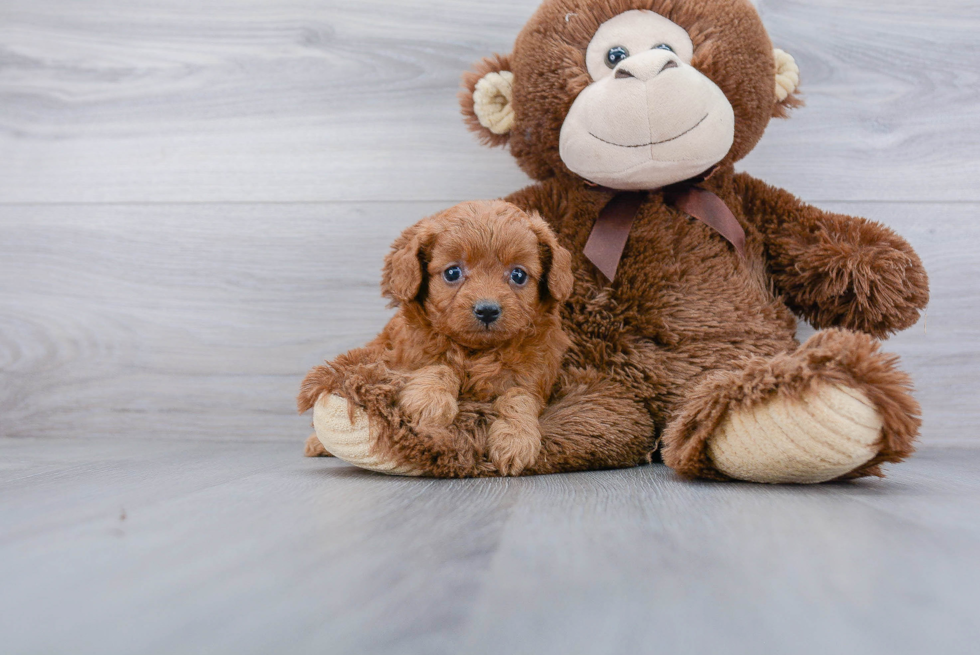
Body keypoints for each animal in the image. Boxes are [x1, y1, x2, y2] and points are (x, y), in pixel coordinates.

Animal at [298, 200, 576, 476]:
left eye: (518, 275)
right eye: (452, 273)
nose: (487, 310)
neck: (476, 351)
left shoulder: (535, 377)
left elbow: (519, 397)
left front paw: (516, 439)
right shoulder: (402, 360)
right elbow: (439, 367)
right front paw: (430, 403)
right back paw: (316, 444)